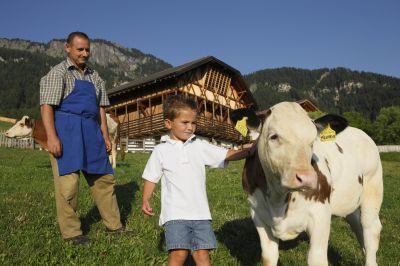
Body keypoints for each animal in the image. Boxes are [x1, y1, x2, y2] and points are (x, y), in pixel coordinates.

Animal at [231, 102, 384, 266]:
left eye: (312, 141)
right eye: (274, 136)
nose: (307, 178)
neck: (278, 201)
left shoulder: (320, 214)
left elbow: (316, 259)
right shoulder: (258, 216)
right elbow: (268, 257)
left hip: (373, 187)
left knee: (370, 228)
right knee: (358, 226)